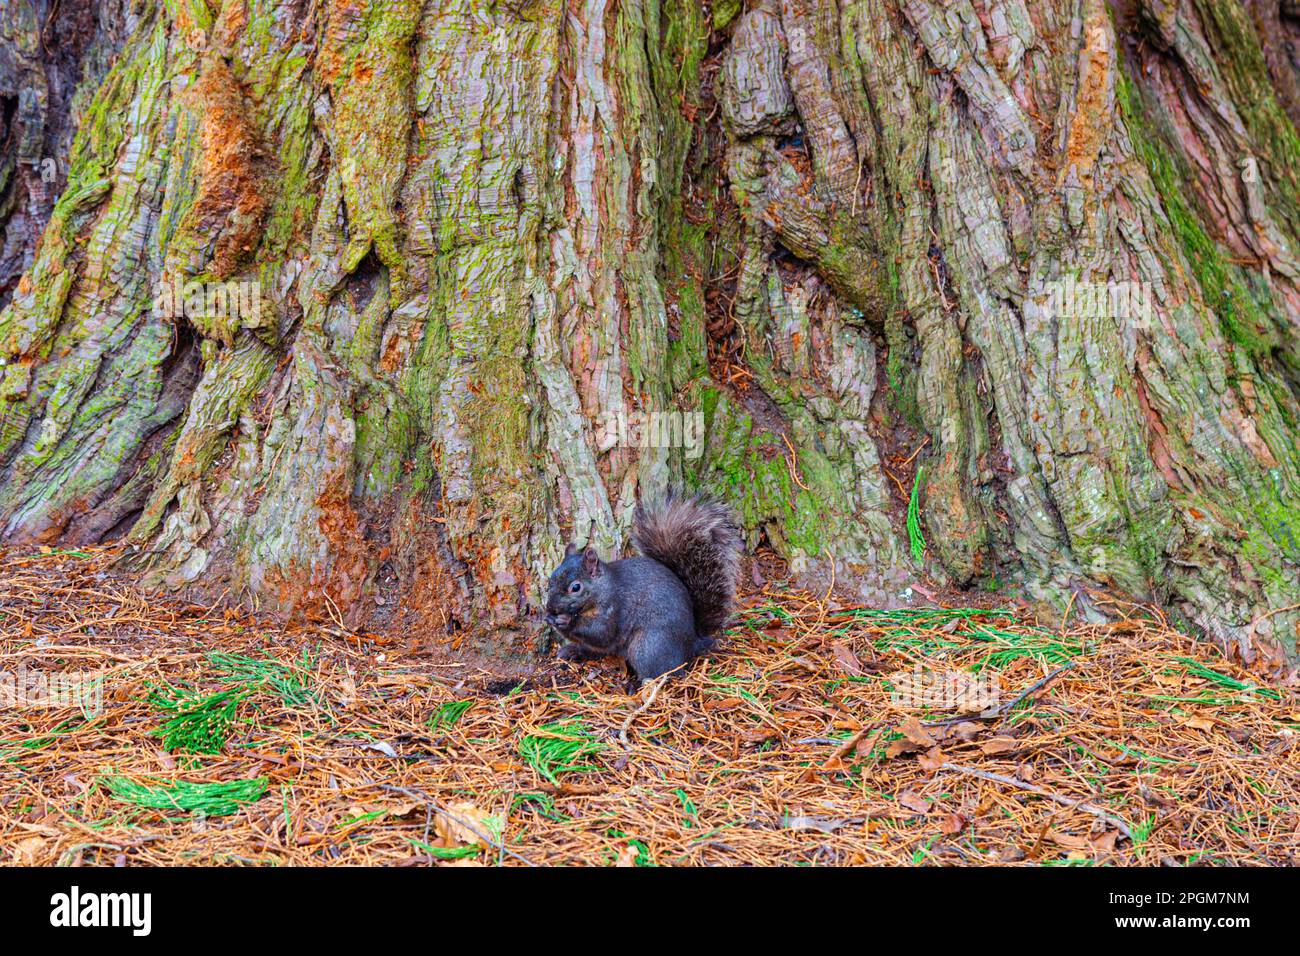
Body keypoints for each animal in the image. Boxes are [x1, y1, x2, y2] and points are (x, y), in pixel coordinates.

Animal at [544, 493, 742, 683]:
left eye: (575, 587)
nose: (550, 607)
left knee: (664, 672)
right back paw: (572, 651)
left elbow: (601, 632)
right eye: (550, 580)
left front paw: (565, 621)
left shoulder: (614, 608)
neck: (603, 589)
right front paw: (550, 618)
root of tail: (693, 642)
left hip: (648, 646)